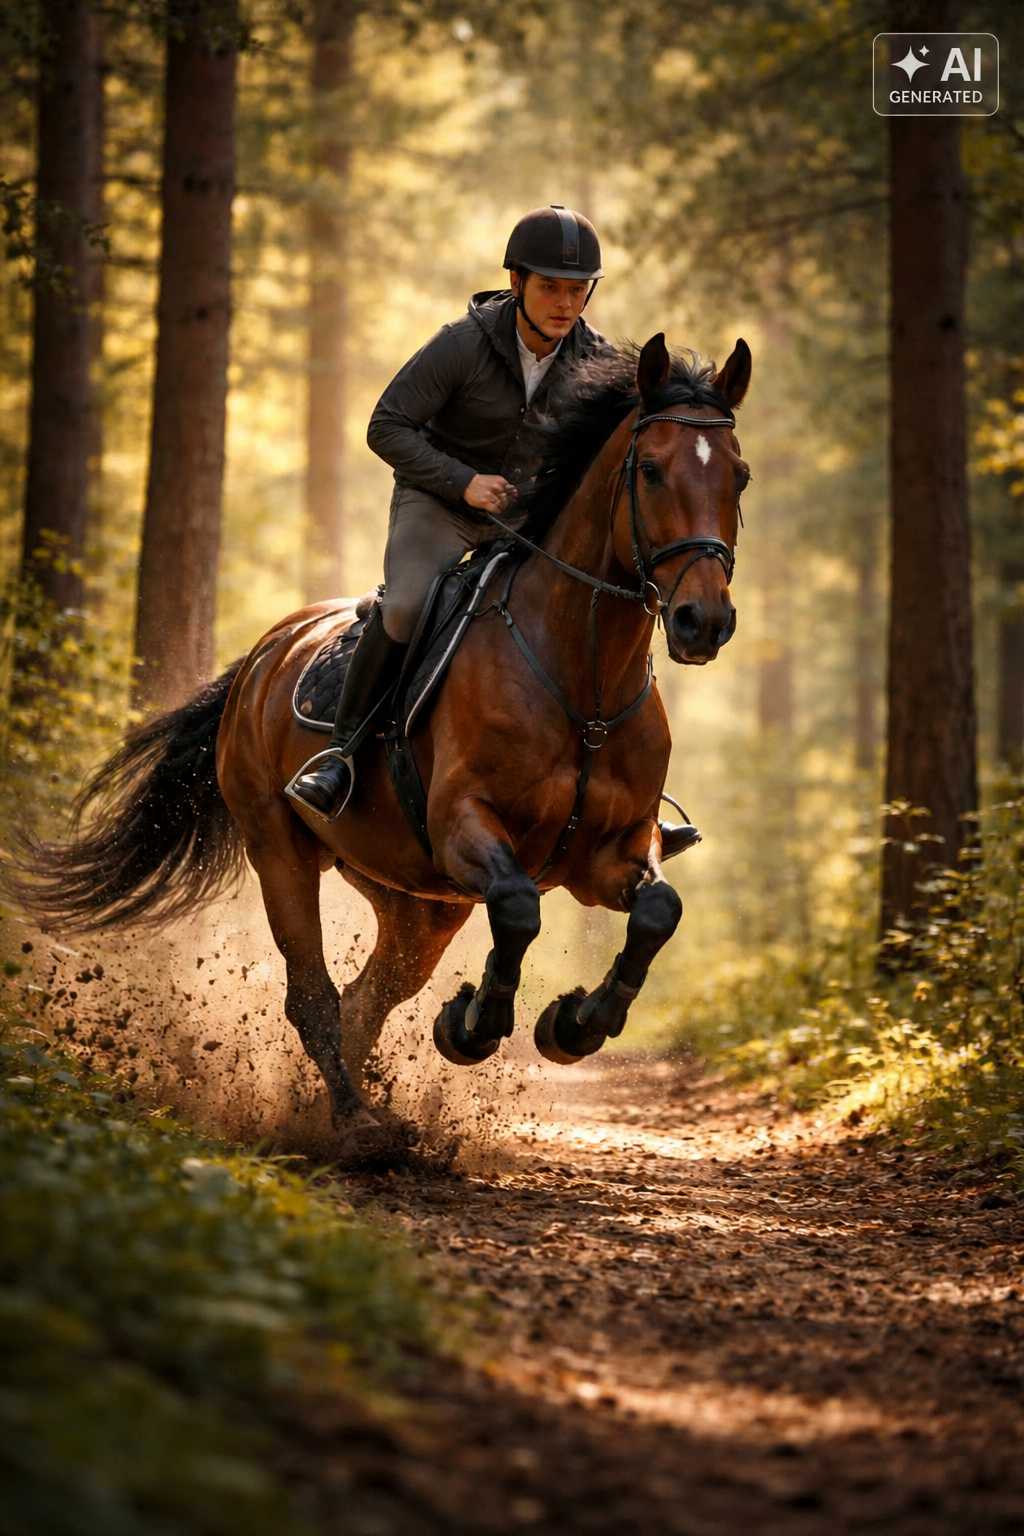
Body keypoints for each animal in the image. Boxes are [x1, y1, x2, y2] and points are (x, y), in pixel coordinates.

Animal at [12, 333, 751, 1156]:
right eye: (650, 469)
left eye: (739, 474)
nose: (702, 622)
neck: (580, 678)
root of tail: (265, 652)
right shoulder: (467, 825)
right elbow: (519, 909)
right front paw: (474, 1027)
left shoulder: (612, 851)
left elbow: (658, 912)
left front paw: (573, 1025)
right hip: (282, 850)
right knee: (316, 997)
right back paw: (355, 1123)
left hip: (415, 900)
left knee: (369, 998)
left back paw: (353, 1109)